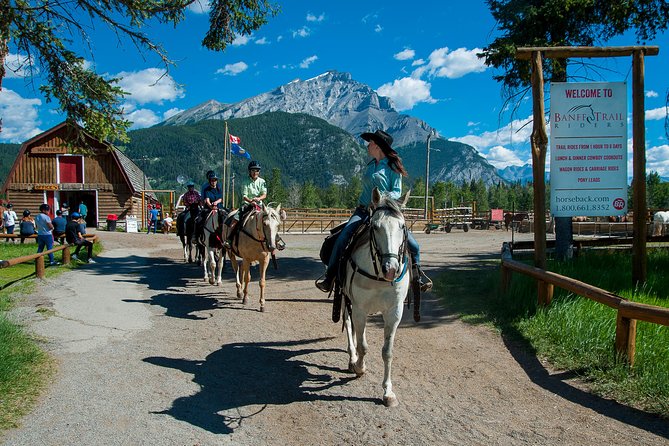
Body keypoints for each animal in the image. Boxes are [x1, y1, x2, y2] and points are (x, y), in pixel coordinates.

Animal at [342, 188, 410, 408]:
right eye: (375, 226)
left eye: (402, 226)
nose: (391, 269)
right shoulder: (359, 308)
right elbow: (363, 346)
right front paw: (359, 367)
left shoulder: (394, 312)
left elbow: (387, 352)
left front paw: (388, 392)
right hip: (346, 300)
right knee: (349, 325)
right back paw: (352, 358)